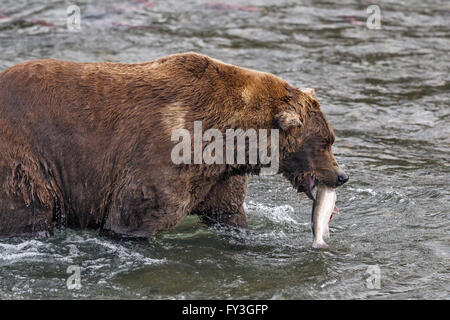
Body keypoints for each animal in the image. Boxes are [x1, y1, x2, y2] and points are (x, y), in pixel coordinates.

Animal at [0, 52, 348, 238]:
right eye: (325, 141)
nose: (342, 175)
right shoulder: (165, 154)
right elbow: (131, 216)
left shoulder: (218, 176)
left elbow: (228, 212)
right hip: (26, 157)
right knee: (30, 206)